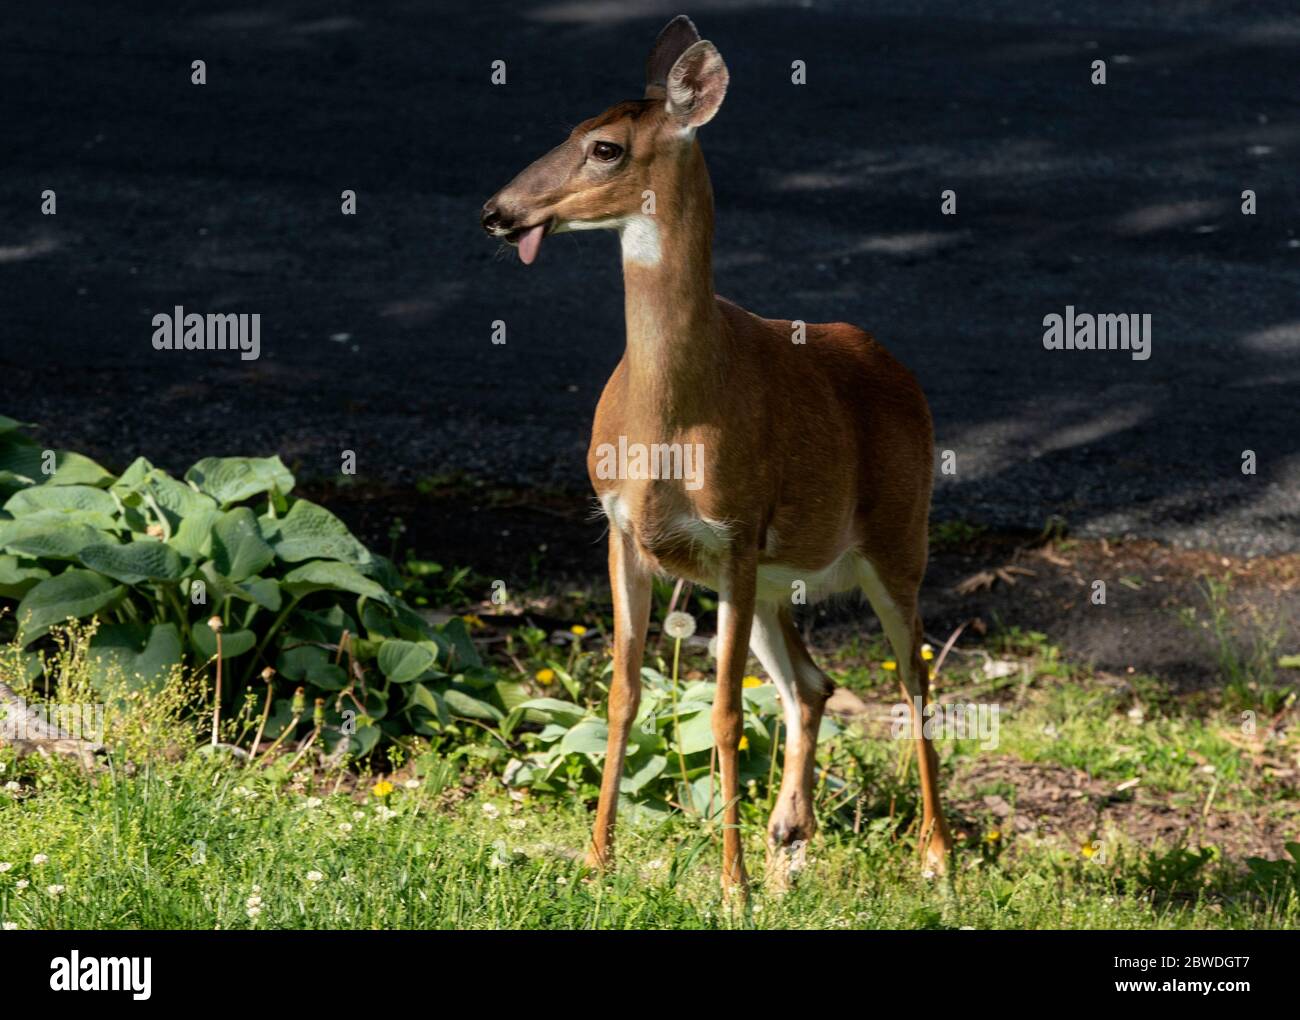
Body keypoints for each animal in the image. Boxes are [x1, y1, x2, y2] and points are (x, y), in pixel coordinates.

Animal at [483, 15, 951, 893]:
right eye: (569, 127)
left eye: (604, 148)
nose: (497, 211)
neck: (669, 421)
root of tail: (899, 369)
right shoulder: (621, 528)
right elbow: (622, 694)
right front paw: (596, 861)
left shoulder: (734, 530)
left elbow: (727, 712)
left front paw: (728, 886)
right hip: (774, 584)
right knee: (813, 683)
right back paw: (787, 837)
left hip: (898, 540)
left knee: (915, 678)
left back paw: (934, 857)